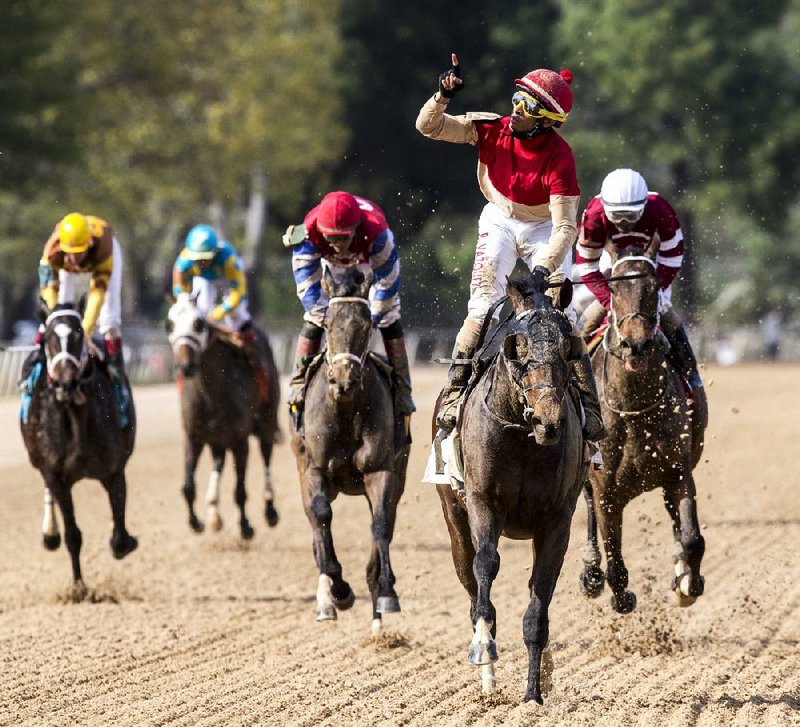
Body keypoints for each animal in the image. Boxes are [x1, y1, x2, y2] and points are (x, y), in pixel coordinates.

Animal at [19, 302, 138, 592]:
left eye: (78, 334)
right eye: (49, 338)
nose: (66, 383)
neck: (74, 418)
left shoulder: (114, 471)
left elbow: (119, 537)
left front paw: (125, 541)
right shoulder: (57, 475)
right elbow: (73, 535)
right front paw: (78, 588)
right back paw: (50, 533)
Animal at [166, 296, 282, 540]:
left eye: (198, 323)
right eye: (169, 325)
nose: (185, 365)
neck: (212, 392)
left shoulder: (240, 440)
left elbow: (240, 489)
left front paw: (246, 526)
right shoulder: (193, 437)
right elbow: (188, 486)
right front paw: (196, 522)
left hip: (267, 419)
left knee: (266, 456)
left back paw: (270, 511)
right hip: (217, 438)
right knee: (218, 461)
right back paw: (213, 513)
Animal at [290, 268, 410, 636]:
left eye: (366, 324)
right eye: (328, 324)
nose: (343, 380)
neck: (344, 411)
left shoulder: (381, 470)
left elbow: (381, 523)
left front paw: (386, 593)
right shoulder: (315, 470)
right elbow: (321, 518)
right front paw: (339, 592)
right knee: (315, 526)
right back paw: (326, 599)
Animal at [434, 276, 584, 704]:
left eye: (569, 345)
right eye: (518, 345)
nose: (550, 422)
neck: (521, 434)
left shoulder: (556, 519)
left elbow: (540, 597)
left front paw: (534, 693)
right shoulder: (484, 502)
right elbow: (486, 566)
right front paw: (484, 650)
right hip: (454, 518)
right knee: (470, 578)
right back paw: (488, 677)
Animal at [580, 240, 708, 616]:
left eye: (652, 287)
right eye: (613, 287)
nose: (635, 344)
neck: (634, 410)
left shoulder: (678, 472)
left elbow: (692, 537)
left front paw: (686, 581)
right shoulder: (606, 490)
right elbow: (615, 558)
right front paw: (619, 594)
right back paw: (590, 573)